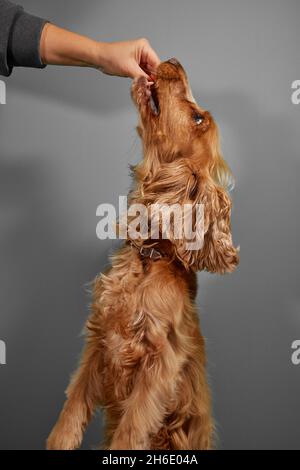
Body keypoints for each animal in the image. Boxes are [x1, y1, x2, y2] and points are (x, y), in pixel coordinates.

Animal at [47, 58, 239, 452]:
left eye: (198, 117)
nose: (175, 62)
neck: (150, 257)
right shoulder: (99, 342)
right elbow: (71, 412)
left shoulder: (159, 366)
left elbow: (130, 431)